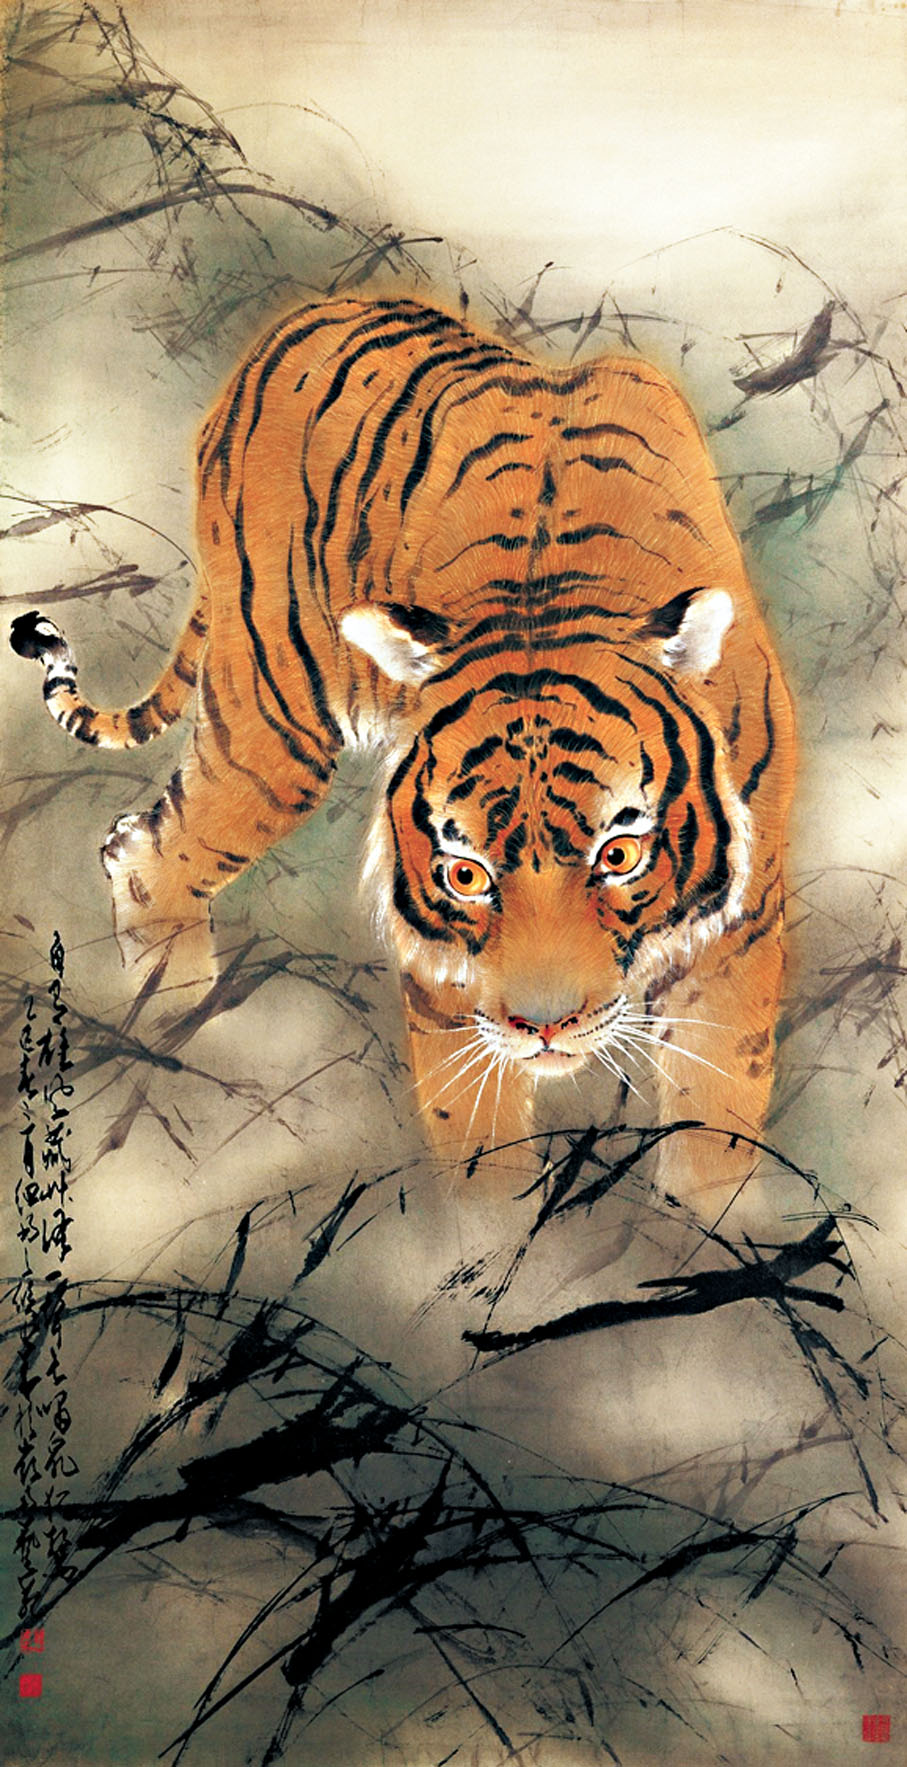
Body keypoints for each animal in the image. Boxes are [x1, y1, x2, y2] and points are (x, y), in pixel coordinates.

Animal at [11, 295, 796, 1202]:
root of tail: (292, 322)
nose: (543, 1027)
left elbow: (712, 1124)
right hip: (271, 725)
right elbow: (480, 1148)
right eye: (466, 874)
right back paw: (173, 1034)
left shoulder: (738, 942)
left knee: (135, 841)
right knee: (152, 849)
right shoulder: (446, 974)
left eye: (619, 854)